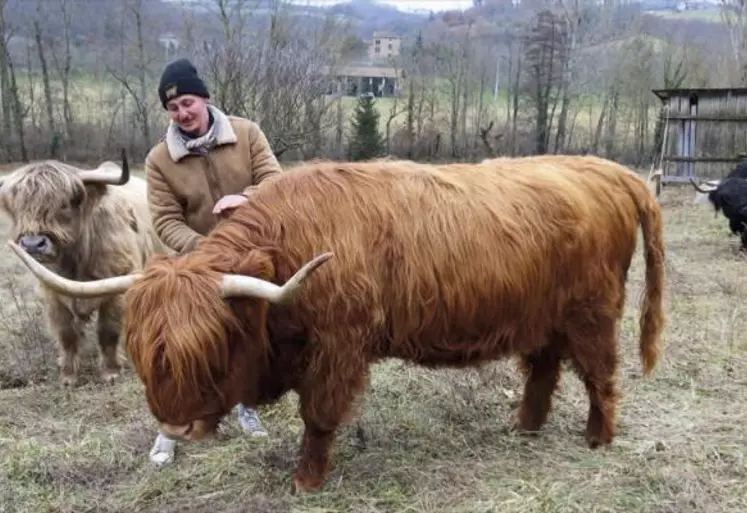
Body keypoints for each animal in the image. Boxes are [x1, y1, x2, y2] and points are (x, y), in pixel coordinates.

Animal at [8, 155, 668, 492]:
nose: (176, 426)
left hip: (591, 313)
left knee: (600, 375)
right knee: (544, 369)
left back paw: (597, 438)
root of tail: (608, 171)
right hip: (543, 316)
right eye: (147, 355)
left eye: (213, 346)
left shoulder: (338, 348)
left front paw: (307, 481)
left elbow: (319, 417)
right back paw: (525, 428)